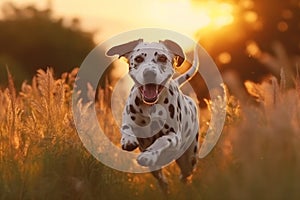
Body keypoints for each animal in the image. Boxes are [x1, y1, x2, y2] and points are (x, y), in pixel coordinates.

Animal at [106, 38, 200, 191]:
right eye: (138, 59)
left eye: (162, 58)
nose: (149, 73)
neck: (150, 107)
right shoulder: (128, 117)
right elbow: (126, 126)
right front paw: (128, 140)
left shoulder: (174, 136)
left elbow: (161, 141)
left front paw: (148, 155)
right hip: (156, 169)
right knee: (160, 177)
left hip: (189, 159)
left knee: (186, 174)